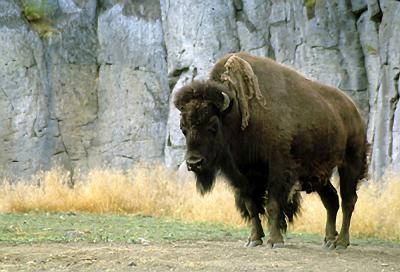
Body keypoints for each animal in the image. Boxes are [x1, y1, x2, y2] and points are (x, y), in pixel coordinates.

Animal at [175, 52, 368, 250]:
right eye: (183, 128)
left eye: (213, 127)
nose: (194, 163)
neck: (237, 114)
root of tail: (353, 110)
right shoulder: (245, 176)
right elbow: (252, 207)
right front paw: (254, 240)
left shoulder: (278, 169)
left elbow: (273, 205)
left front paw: (275, 241)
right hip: (318, 174)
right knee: (331, 200)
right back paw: (329, 240)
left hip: (350, 162)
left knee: (348, 200)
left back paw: (341, 242)